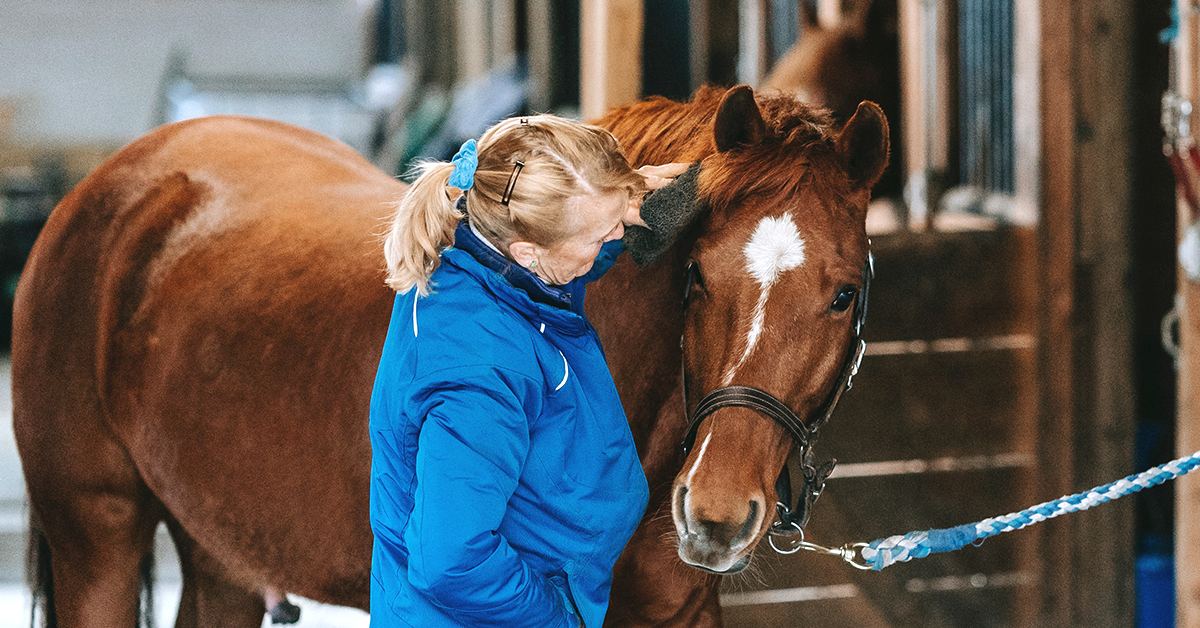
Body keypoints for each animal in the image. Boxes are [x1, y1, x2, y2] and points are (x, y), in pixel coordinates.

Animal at [13, 84, 887, 627]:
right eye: (697, 277)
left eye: (844, 294)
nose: (714, 515)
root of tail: (108, 188)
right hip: (97, 539)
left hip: (220, 548)